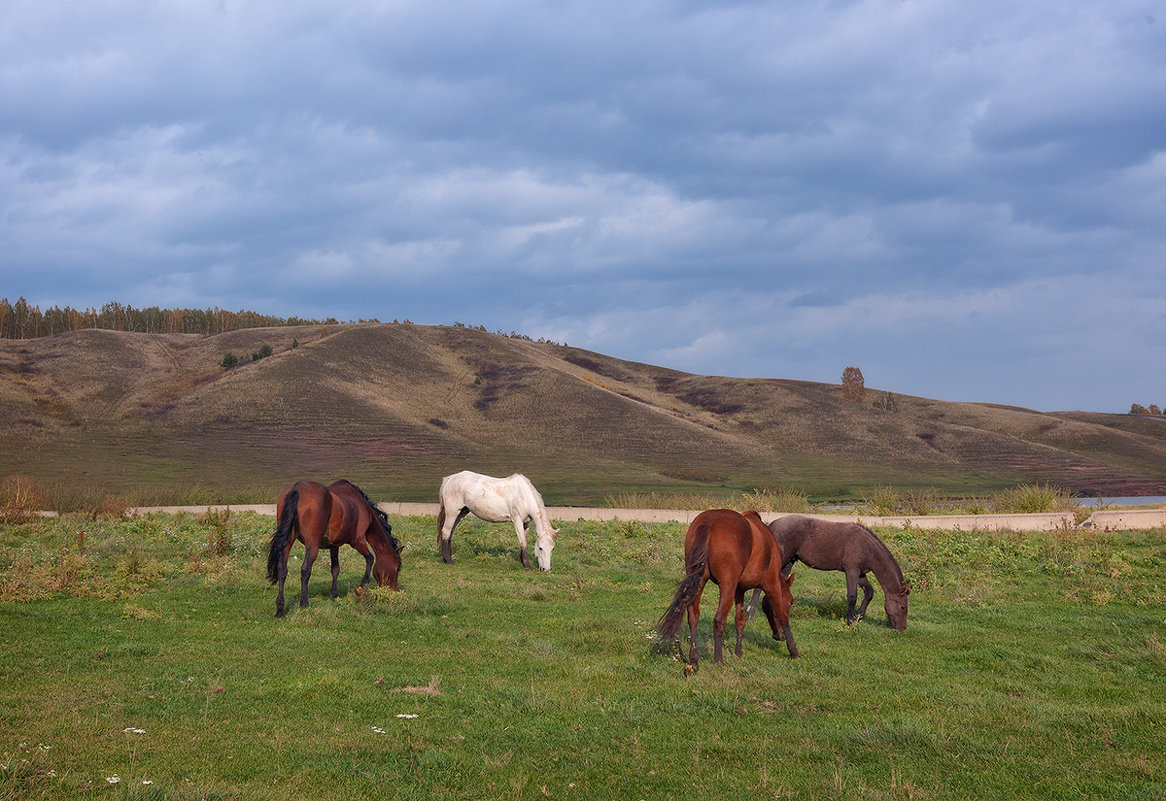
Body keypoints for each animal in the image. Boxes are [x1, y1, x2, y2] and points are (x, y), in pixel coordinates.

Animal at [267, 480, 403, 615]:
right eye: (397, 568)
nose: (393, 591)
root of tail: (297, 488)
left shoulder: (334, 546)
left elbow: (335, 569)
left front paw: (334, 595)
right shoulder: (358, 542)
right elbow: (370, 559)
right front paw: (362, 588)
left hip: (288, 542)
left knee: (282, 569)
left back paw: (280, 609)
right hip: (312, 545)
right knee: (305, 570)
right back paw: (304, 604)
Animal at [657, 508, 802, 671]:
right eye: (790, 602)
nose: (778, 635)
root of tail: (707, 523)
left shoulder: (739, 590)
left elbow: (740, 620)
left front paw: (738, 652)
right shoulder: (772, 586)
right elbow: (783, 616)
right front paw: (793, 651)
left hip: (699, 580)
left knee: (693, 617)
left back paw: (693, 660)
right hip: (727, 585)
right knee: (719, 618)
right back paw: (718, 659)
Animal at [746, 513, 909, 634]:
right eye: (902, 607)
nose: (902, 629)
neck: (867, 547)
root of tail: (771, 525)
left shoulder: (861, 574)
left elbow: (869, 592)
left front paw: (858, 617)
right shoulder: (851, 571)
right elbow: (852, 596)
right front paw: (850, 621)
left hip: (789, 562)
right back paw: (751, 615)